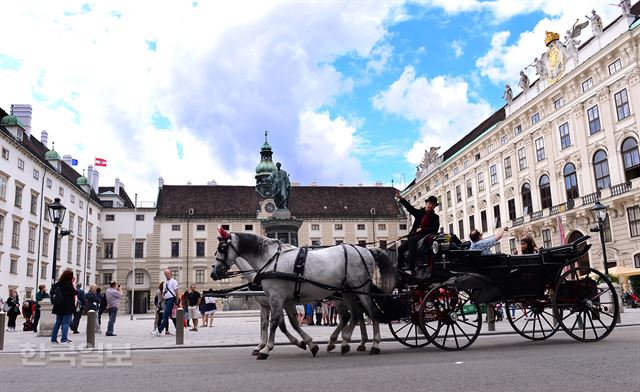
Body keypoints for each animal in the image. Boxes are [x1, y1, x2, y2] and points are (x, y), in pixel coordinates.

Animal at [212, 228, 398, 360]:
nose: (214, 273)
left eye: (222, 248)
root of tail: (367, 250)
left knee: (370, 312)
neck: (270, 260)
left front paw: (266, 349)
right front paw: (308, 344)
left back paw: (373, 345)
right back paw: (345, 343)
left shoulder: (276, 298)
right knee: (355, 314)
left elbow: (275, 323)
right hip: (349, 293)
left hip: (360, 290)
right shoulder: (282, 301)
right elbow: (289, 323)